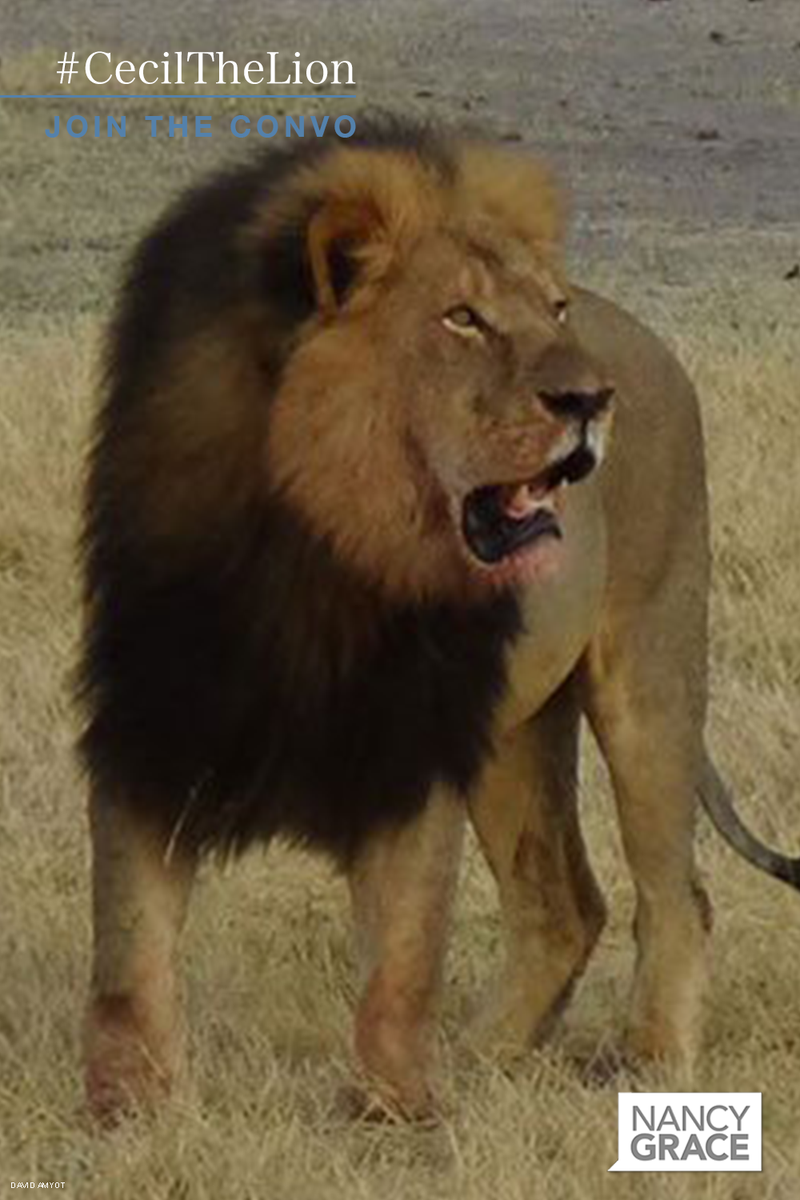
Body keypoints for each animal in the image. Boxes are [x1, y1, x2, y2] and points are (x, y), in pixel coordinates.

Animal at [78, 116, 799, 1123]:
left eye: (552, 309)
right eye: (461, 318)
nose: (589, 401)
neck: (318, 550)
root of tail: (642, 338)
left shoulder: (411, 744)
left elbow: (403, 959)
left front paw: (395, 1119)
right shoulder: (151, 724)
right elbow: (128, 950)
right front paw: (131, 1114)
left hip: (650, 674)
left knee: (673, 894)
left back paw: (649, 1065)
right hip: (512, 735)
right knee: (561, 904)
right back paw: (482, 1063)